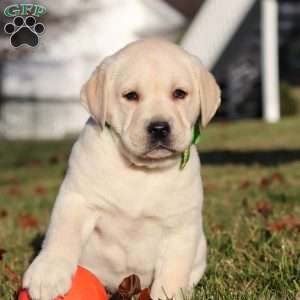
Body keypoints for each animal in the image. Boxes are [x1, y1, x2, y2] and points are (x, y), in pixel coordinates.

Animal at [22, 38, 220, 300]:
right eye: (131, 96)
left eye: (179, 93)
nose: (159, 128)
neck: (141, 170)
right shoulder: (77, 199)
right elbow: (63, 234)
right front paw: (48, 275)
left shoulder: (181, 226)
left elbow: (173, 270)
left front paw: (168, 293)